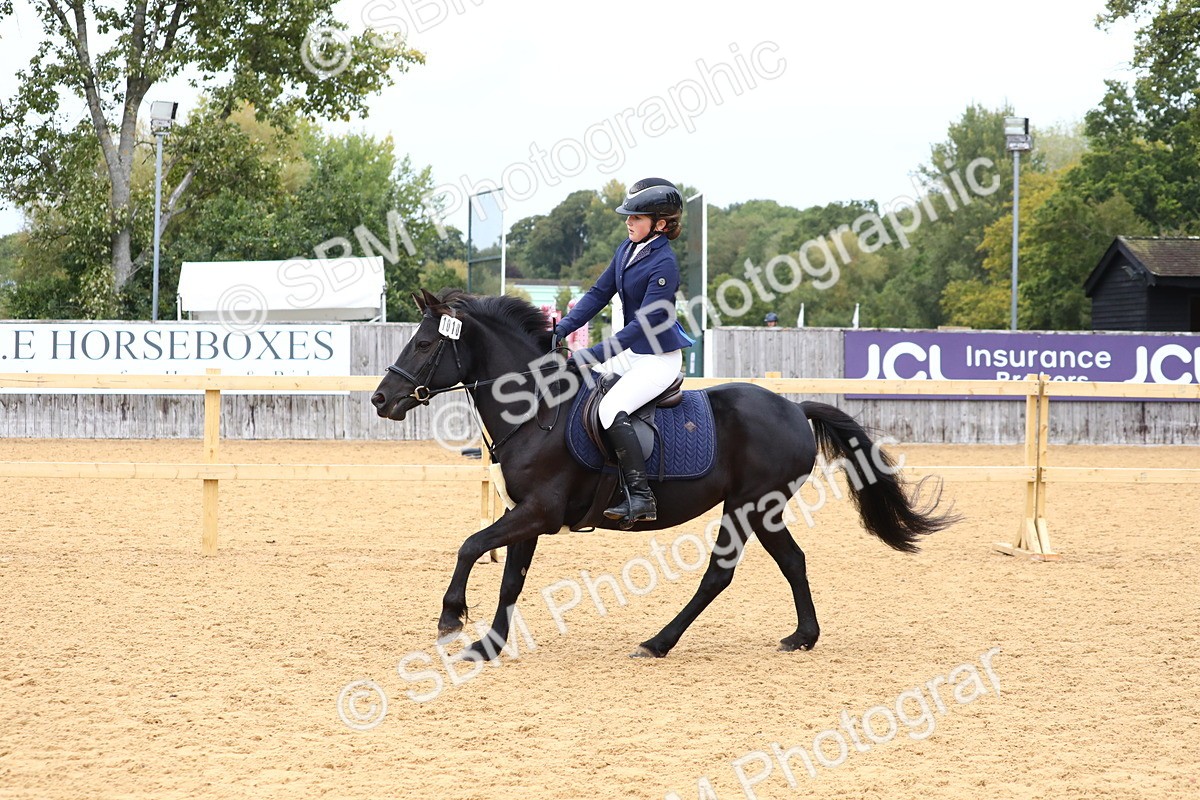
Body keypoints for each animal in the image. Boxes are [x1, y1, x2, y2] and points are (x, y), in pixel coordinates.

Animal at [372, 288, 958, 659]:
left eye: (424, 344)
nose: (382, 399)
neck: (538, 409)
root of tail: (793, 408)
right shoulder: (527, 515)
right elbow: (510, 577)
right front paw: (488, 645)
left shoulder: (540, 511)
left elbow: (471, 545)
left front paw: (451, 617)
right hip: (763, 510)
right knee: (792, 560)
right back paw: (802, 637)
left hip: (747, 506)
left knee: (719, 574)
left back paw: (659, 642)